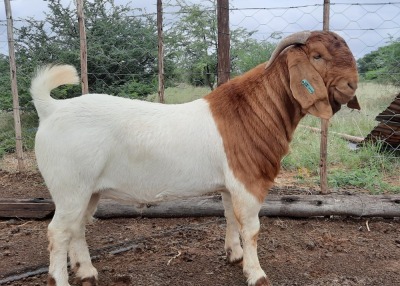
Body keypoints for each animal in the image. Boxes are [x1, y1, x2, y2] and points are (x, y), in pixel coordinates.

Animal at [30, 30, 360, 284]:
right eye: (317, 56)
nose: (351, 85)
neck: (252, 110)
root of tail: (52, 109)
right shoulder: (247, 181)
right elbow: (251, 228)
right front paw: (256, 274)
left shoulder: (230, 185)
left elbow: (229, 217)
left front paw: (234, 255)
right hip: (70, 187)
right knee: (57, 232)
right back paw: (61, 280)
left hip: (89, 190)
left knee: (77, 227)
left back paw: (86, 272)